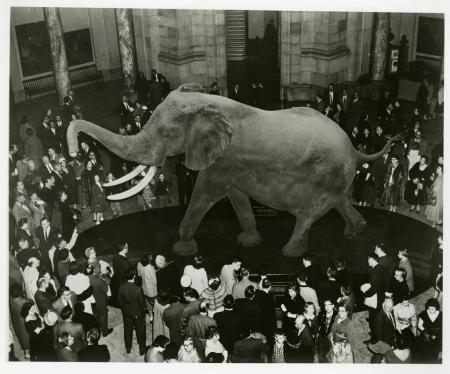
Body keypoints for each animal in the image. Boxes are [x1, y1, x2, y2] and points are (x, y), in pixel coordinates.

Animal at [67, 83, 398, 256]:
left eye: (168, 133)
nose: (72, 151)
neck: (205, 103)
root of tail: (355, 148)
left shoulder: (223, 160)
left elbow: (205, 193)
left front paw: (182, 249)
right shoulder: (233, 164)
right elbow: (236, 197)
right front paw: (248, 242)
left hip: (324, 175)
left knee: (307, 214)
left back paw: (291, 251)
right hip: (337, 176)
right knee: (340, 202)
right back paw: (355, 232)